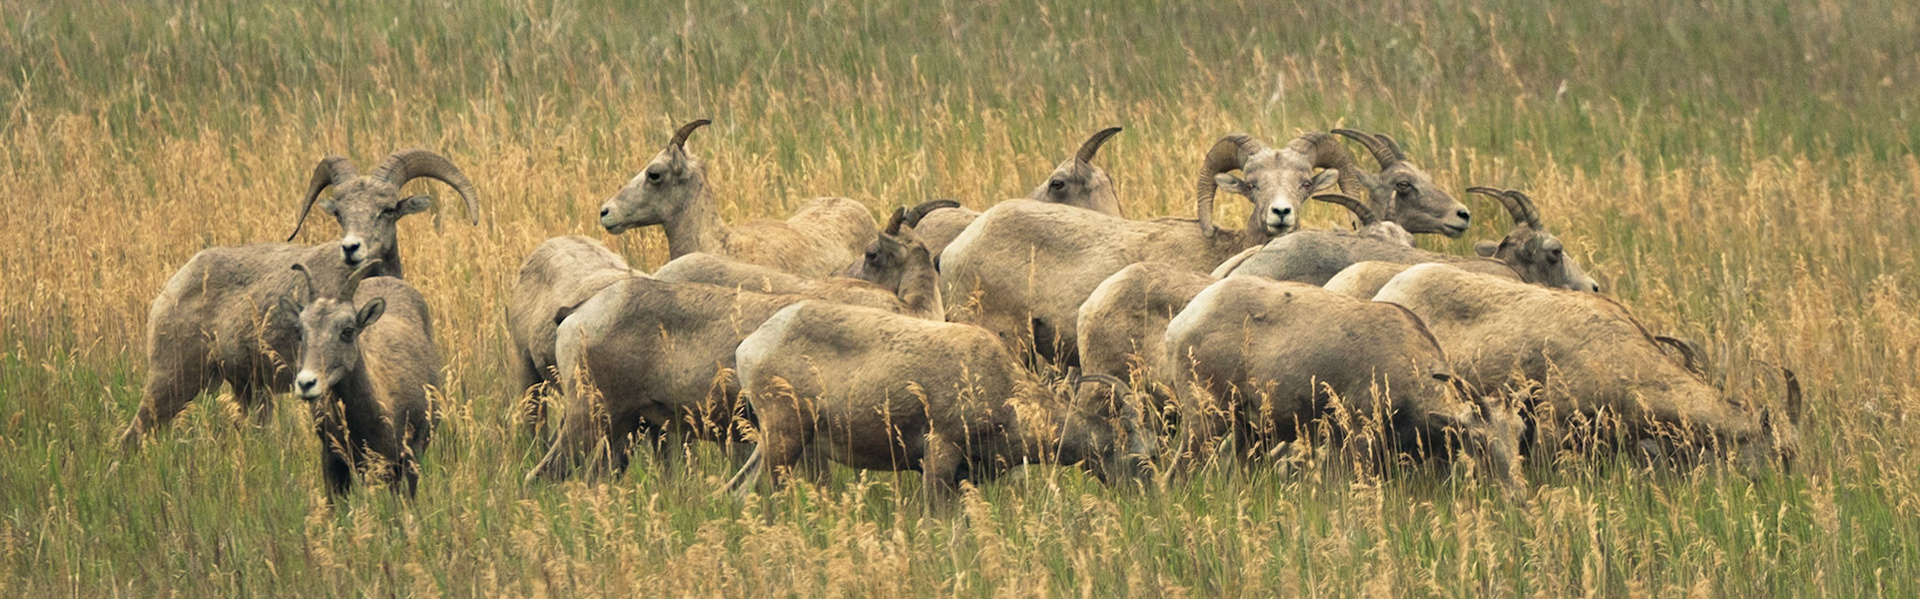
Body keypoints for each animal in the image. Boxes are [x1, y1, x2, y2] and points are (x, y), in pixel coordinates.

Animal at [118, 149, 480, 449]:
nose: (352, 248)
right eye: (339, 213)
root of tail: (171, 290)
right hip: (172, 381)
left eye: (388, 210)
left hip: (247, 391)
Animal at [723, 300, 1152, 503]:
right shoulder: (939, 457)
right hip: (785, 439)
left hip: (772, 442)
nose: (1147, 501)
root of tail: (751, 346)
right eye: (1140, 460)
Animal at [1160, 275, 1525, 483]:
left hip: (1249, 431)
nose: (1516, 494)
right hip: (1207, 418)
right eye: (1478, 439)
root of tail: (1178, 326)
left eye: (1519, 433)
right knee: (1172, 477)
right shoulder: (1359, 437)